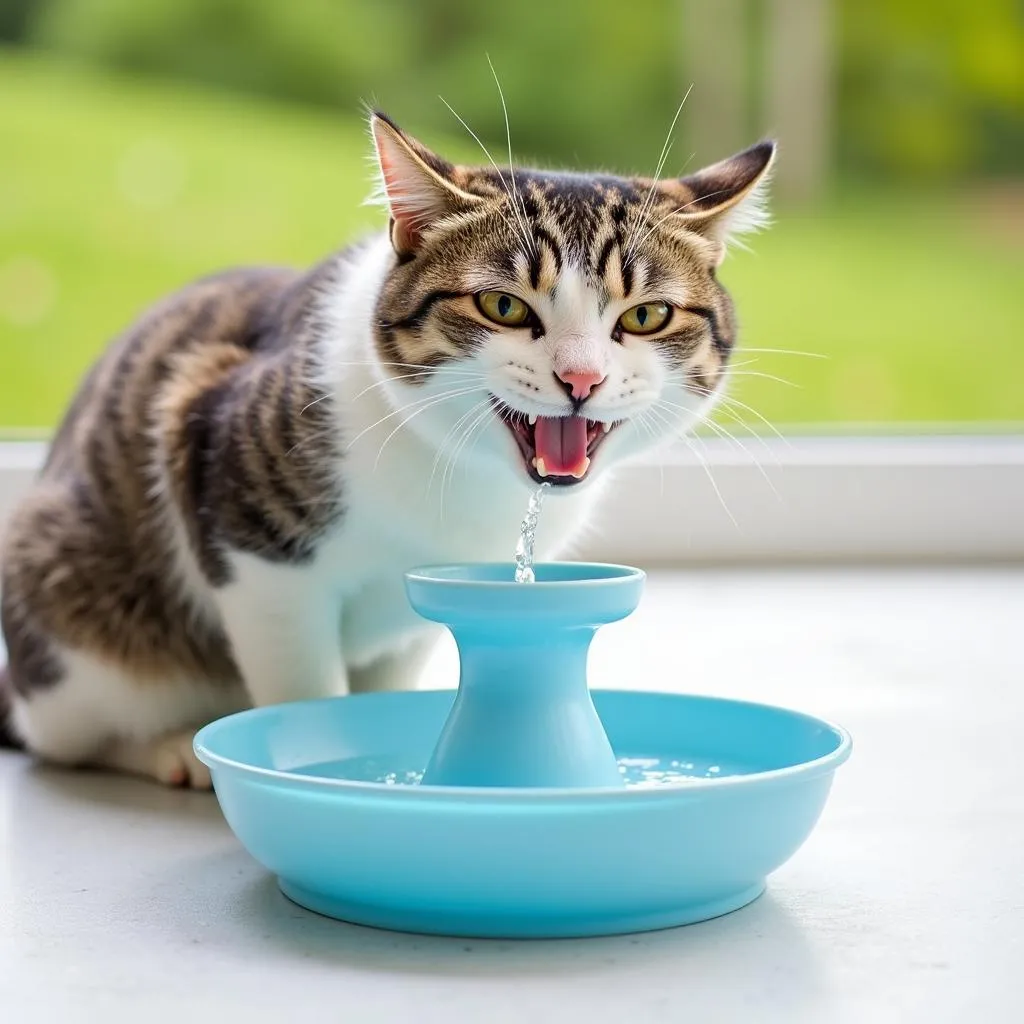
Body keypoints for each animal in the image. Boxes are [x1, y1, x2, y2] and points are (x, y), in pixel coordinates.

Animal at [0, 110, 770, 782]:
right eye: (503, 305)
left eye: (646, 316)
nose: (581, 378)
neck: (466, 478)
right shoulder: (252, 537)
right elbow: (303, 685)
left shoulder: (423, 612)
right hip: (76, 621)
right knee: (67, 737)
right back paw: (168, 750)